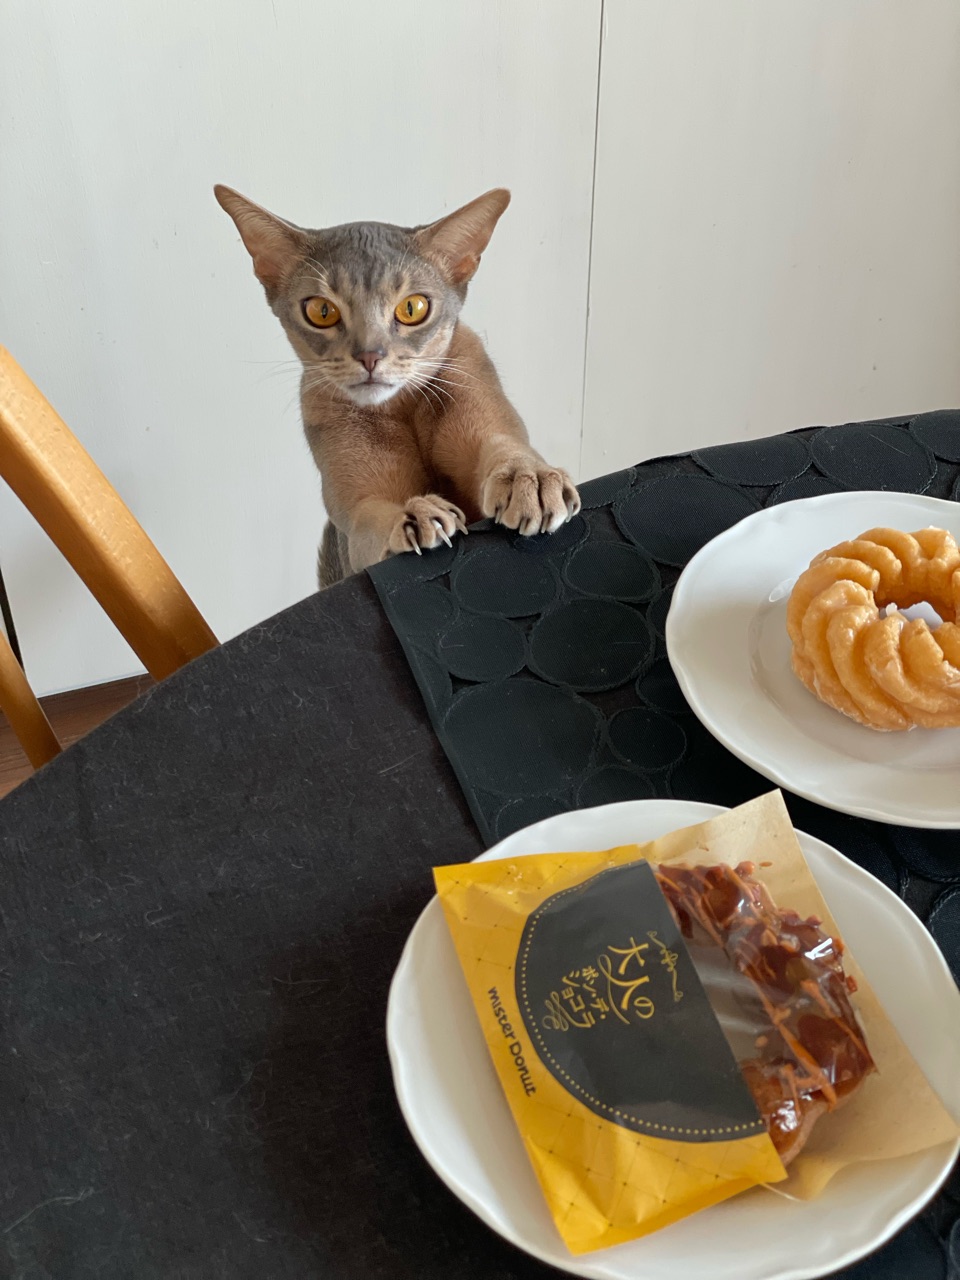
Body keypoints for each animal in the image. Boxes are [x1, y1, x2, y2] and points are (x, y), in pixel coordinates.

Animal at [214, 185, 580, 587]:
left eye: (413, 307)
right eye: (322, 311)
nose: (369, 356)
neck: (403, 407)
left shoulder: (486, 420)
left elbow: (505, 445)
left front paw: (531, 478)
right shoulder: (356, 515)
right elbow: (373, 514)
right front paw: (411, 516)